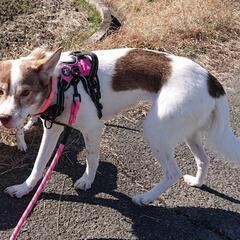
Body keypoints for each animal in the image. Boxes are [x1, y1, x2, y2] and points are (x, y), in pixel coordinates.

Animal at [0, 47, 239, 205]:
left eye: (26, 92)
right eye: (1, 91)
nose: (4, 118)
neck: (63, 83)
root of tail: (212, 81)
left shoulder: (93, 129)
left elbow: (92, 159)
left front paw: (87, 181)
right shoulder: (53, 129)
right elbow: (39, 164)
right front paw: (24, 189)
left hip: (155, 130)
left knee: (173, 172)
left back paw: (145, 198)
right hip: (189, 131)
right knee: (204, 159)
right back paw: (197, 182)